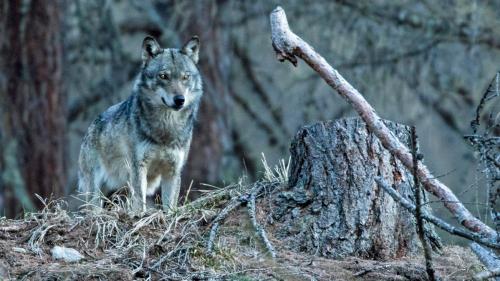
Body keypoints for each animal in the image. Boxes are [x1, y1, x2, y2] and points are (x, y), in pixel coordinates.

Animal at [77, 35, 201, 210]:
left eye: (185, 77)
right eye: (163, 76)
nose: (179, 100)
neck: (166, 129)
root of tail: (91, 126)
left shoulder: (173, 171)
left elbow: (170, 206)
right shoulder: (138, 167)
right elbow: (139, 203)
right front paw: (140, 214)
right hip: (95, 191)